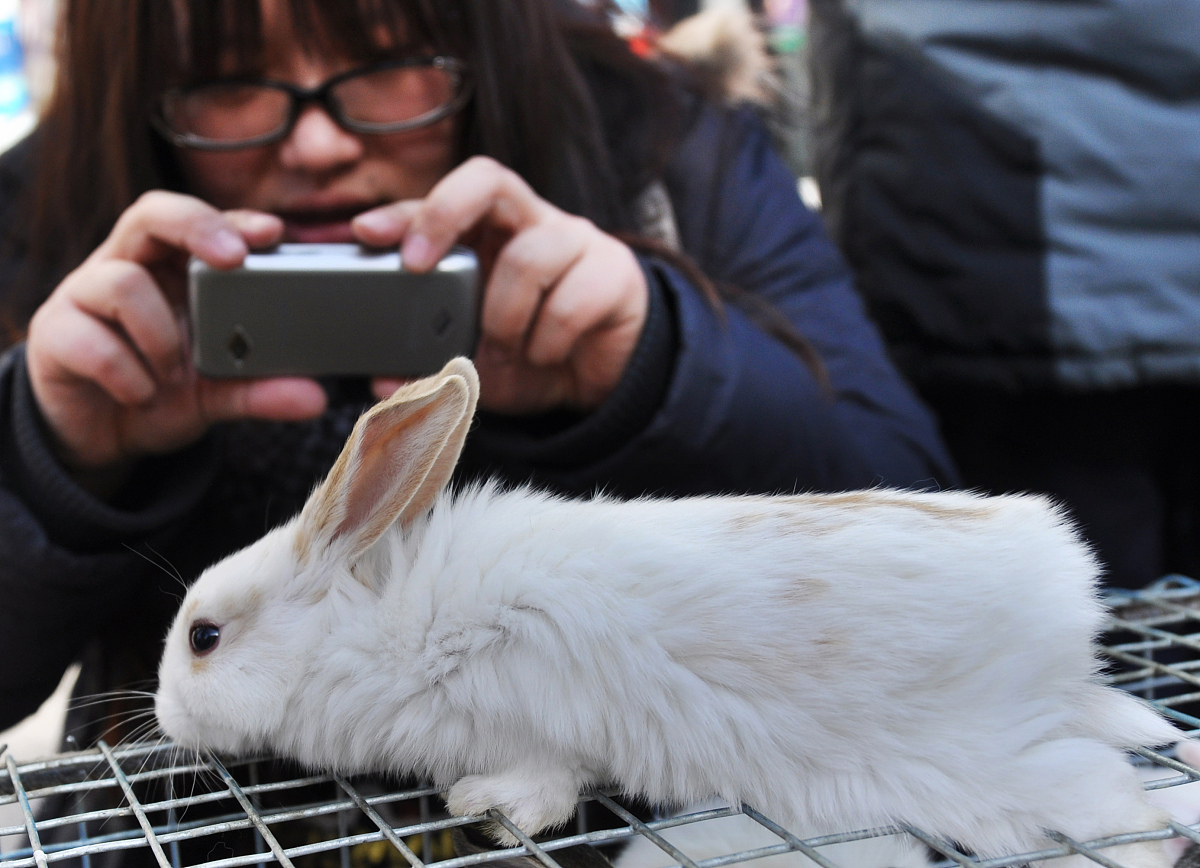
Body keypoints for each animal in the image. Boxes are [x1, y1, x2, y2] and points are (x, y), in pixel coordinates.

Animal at [154, 355, 1176, 868]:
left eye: (205, 637)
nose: (159, 713)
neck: (380, 630)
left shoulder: (541, 731)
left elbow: (544, 792)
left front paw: (484, 811)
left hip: (1008, 772)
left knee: (1130, 812)